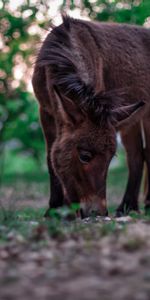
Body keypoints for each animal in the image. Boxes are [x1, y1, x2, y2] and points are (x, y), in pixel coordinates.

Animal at [32, 15, 150, 218]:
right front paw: (56, 209)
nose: (99, 213)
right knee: (136, 156)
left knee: (148, 154)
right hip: (131, 120)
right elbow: (50, 158)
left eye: (111, 158)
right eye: (85, 156)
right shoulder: (46, 112)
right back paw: (127, 207)